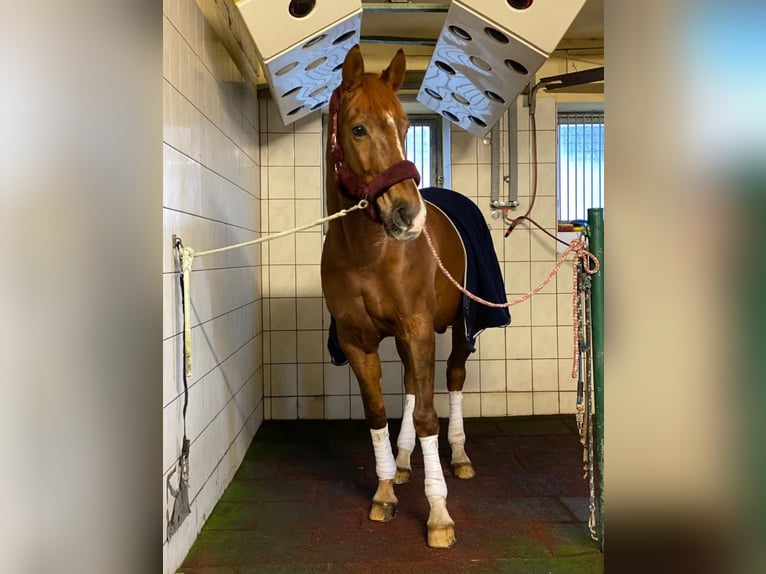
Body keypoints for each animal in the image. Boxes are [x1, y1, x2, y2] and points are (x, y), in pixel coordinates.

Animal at [320, 45, 474, 548]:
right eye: (358, 128)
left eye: (405, 125)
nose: (409, 214)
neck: (367, 254)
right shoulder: (357, 341)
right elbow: (378, 412)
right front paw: (386, 489)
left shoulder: (418, 328)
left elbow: (427, 414)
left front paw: (439, 513)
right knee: (409, 385)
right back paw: (405, 461)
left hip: (460, 329)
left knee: (453, 378)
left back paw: (459, 457)